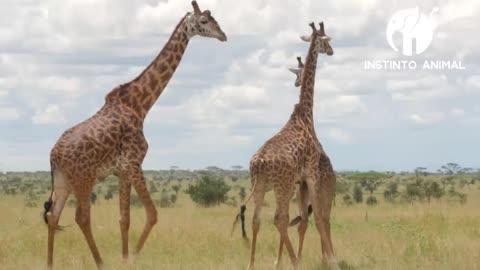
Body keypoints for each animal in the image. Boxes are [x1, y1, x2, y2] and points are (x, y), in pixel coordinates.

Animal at [42, 1, 226, 268]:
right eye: (203, 21)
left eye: (214, 19)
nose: (223, 35)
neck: (140, 105)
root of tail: (54, 154)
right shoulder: (134, 163)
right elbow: (152, 214)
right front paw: (132, 258)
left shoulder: (122, 171)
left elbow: (124, 219)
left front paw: (125, 256)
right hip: (84, 178)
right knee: (81, 217)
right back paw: (100, 262)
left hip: (63, 180)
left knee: (54, 217)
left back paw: (49, 263)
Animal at [232, 23, 338, 270]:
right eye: (326, 40)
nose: (331, 51)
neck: (305, 115)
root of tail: (259, 162)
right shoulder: (310, 174)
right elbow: (317, 218)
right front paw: (331, 260)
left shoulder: (301, 182)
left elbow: (308, 219)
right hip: (282, 186)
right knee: (280, 219)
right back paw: (295, 262)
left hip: (261, 185)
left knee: (257, 220)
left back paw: (251, 265)